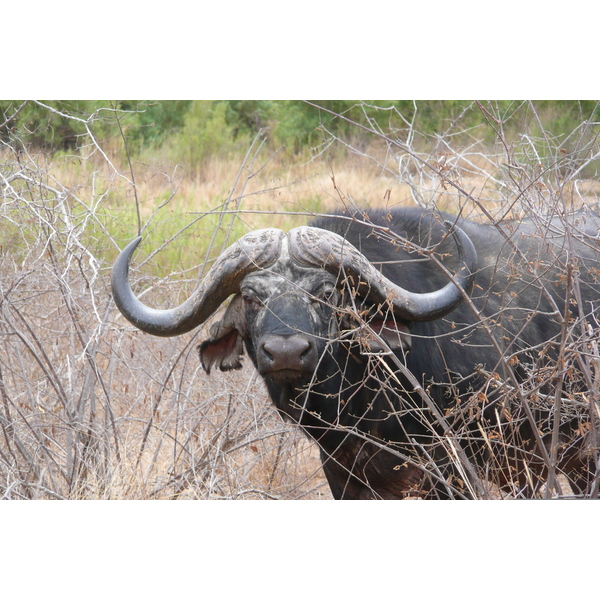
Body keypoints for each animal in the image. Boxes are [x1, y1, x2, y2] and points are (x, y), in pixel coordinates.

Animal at [112, 209, 600, 500]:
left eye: (327, 293)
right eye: (250, 298)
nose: (285, 351)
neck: (362, 406)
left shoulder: (453, 474)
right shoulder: (344, 476)